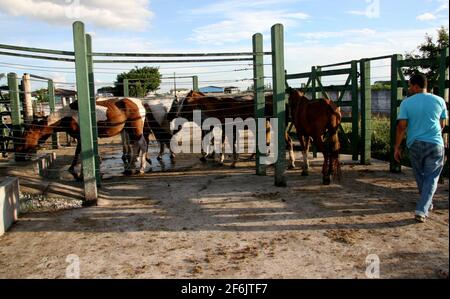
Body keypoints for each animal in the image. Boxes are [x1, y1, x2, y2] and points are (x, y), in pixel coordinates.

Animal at [15, 98, 149, 180]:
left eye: (26, 135)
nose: (18, 151)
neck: (69, 116)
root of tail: (140, 103)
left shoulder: (80, 138)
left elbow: (78, 153)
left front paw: (76, 170)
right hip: (129, 130)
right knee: (136, 145)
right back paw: (130, 167)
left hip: (135, 130)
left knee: (142, 145)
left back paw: (141, 168)